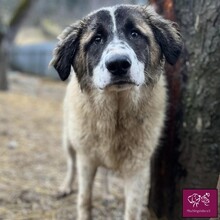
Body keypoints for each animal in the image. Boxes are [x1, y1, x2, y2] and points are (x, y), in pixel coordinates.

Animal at [50, 3, 182, 220]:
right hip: (68, 141)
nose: (118, 64)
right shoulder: (86, 159)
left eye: (134, 34)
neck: (115, 116)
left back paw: (107, 194)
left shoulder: (137, 168)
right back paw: (65, 187)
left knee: (106, 173)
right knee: (71, 165)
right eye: (97, 39)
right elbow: (84, 199)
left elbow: (132, 209)